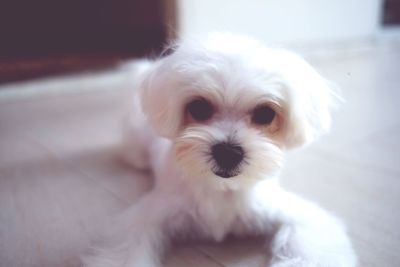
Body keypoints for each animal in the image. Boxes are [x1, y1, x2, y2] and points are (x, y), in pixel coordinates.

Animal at [83, 33, 356, 267]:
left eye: (265, 113)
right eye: (199, 107)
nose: (228, 152)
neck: (221, 190)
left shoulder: (294, 215)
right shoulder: (143, 220)